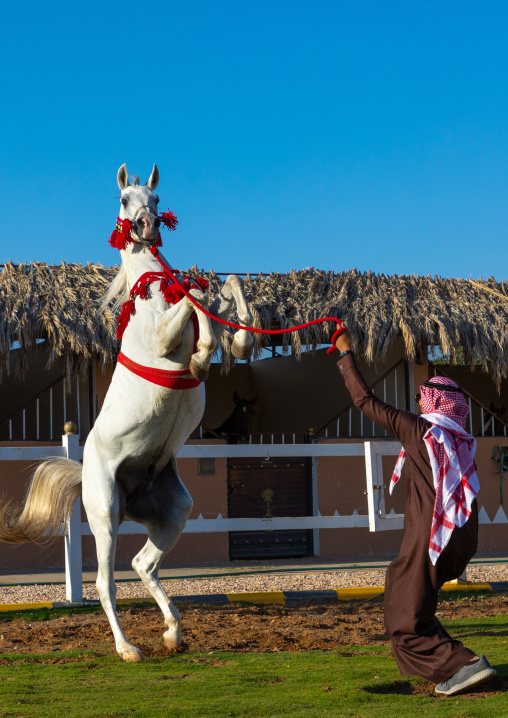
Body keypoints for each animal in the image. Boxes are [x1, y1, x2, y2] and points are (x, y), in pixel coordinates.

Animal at [0, 164, 254, 662]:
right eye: (124, 200)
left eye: (156, 198)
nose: (147, 226)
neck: (152, 290)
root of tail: (86, 472)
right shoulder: (161, 336)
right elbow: (196, 305)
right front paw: (201, 356)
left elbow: (222, 294)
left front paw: (232, 337)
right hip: (105, 515)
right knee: (105, 583)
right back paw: (128, 648)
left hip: (172, 512)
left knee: (143, 564)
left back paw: (173, 632)